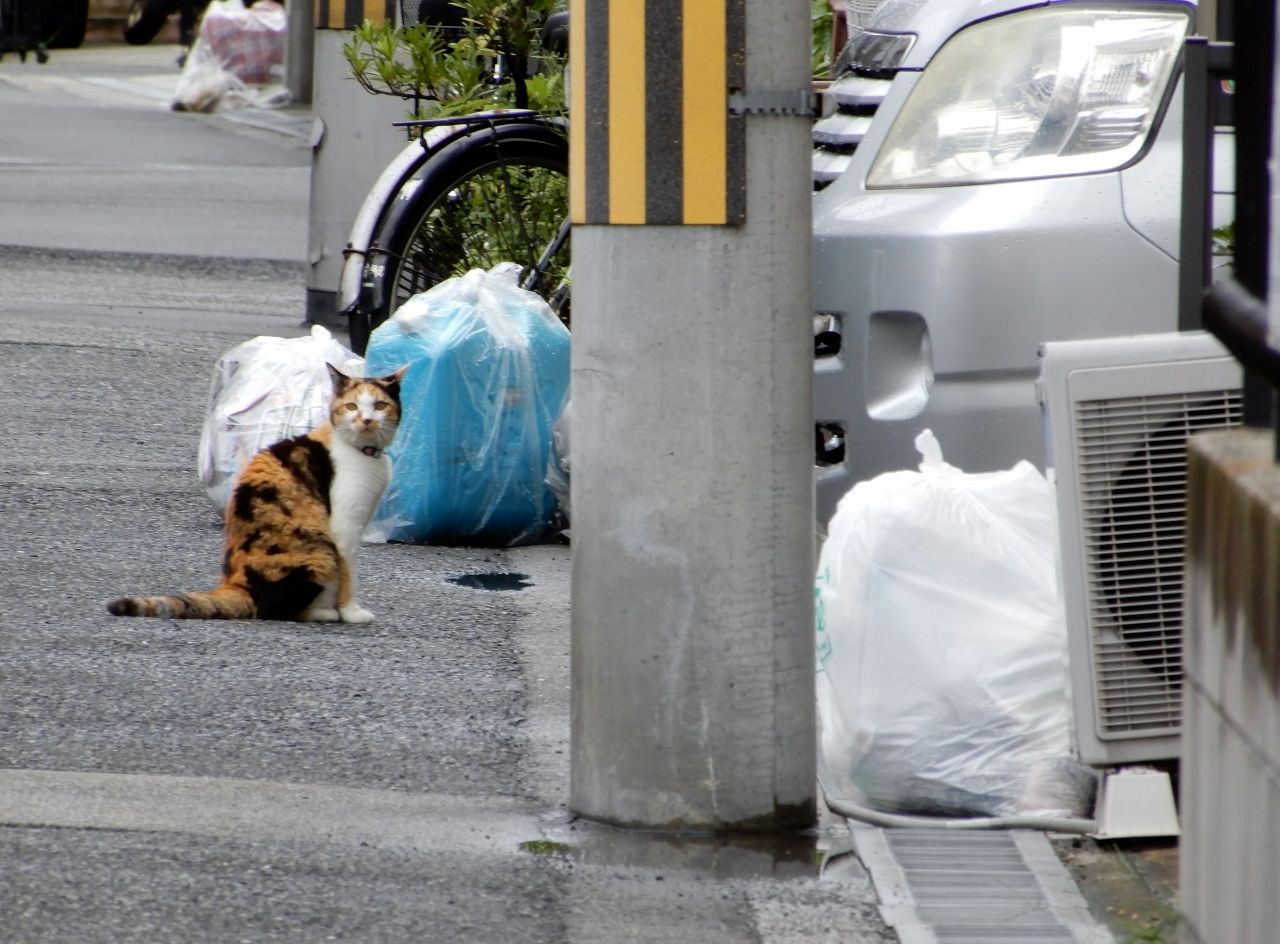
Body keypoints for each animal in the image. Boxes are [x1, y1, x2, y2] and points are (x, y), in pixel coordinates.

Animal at [112, 363, 409, 621]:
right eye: (351, 406)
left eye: (380, 405)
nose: (367, 420)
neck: (359, 450)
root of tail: (235, 586)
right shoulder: (345, 530)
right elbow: (350, 576)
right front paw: (352, 612)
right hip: (320, 551)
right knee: (278, 609)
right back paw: (325, 612)